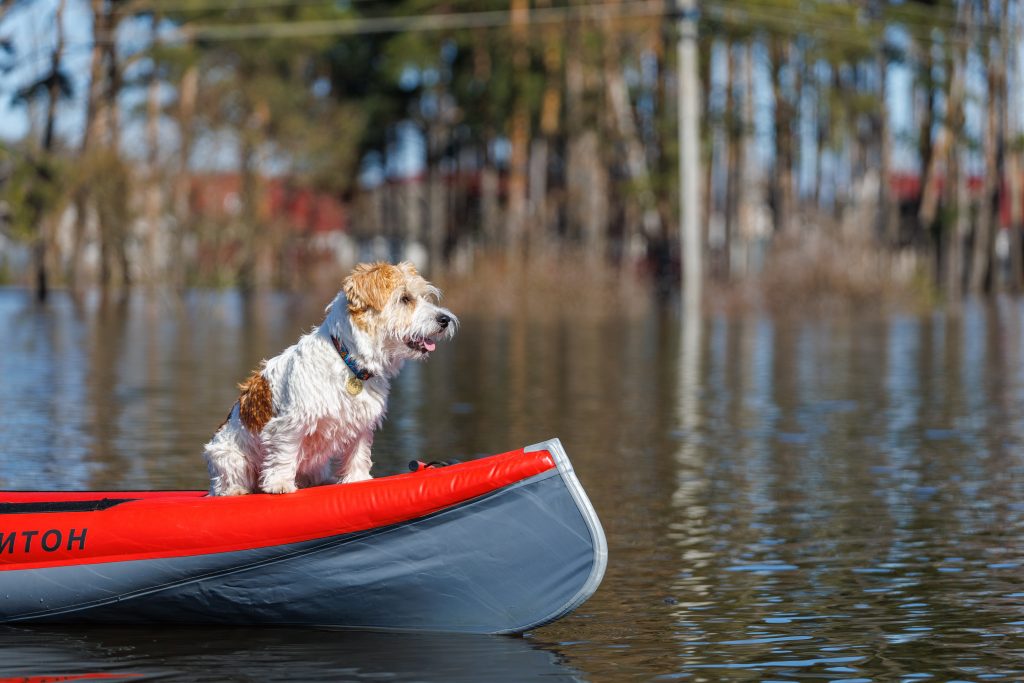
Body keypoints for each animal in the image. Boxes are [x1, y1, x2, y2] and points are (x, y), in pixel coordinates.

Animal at [201, 262, 458, 497]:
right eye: (405, 299)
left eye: (424, 296)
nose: (445, 319)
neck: (348, 361)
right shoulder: (289, 425)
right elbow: (284, 453)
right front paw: (279, 485)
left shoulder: (361, 424)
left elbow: (358, 454)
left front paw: (357, 479)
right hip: (227, 457)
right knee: (227, 485)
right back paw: (237, 491)